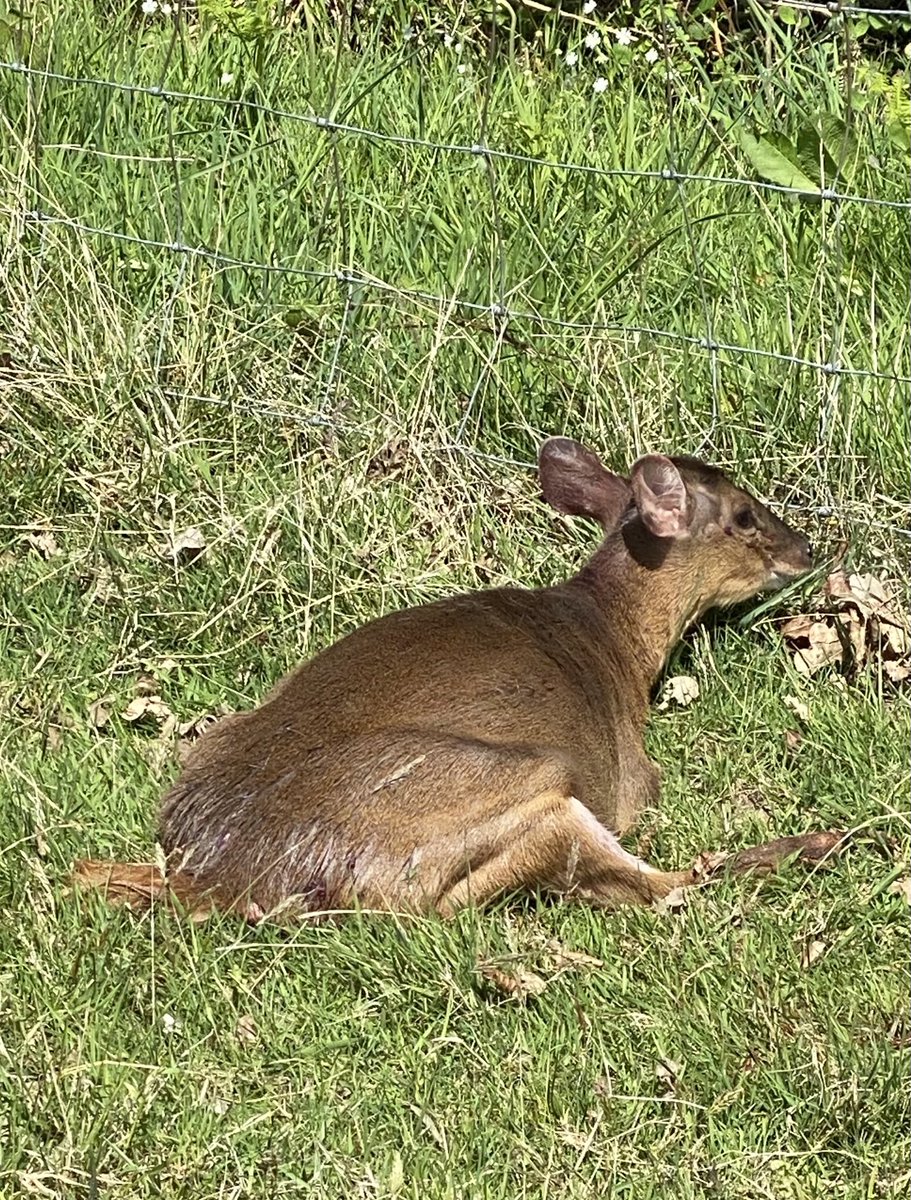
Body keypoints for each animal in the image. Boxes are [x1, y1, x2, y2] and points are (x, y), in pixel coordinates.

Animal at [73, 438, 841, 923]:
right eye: (744, 515)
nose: (807, 550)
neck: (618, 641)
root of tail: (220, 875)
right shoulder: (629, 781)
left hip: (217, 736)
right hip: (530, 783)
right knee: (654, 886)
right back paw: (817, 843)